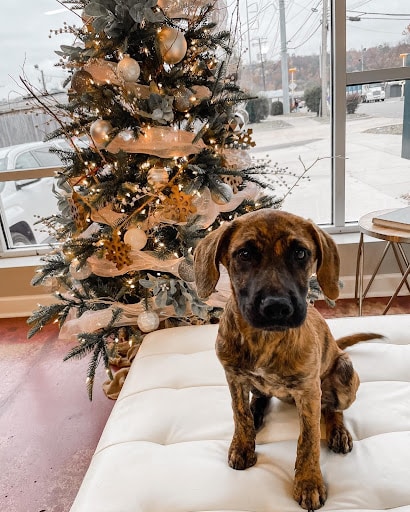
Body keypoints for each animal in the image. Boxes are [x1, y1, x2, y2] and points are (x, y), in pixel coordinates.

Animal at [194, 209, 382, 512]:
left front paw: (308, 482)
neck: (265, 339)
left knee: (333, 409)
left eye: (301, 253)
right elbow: (239, 414)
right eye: (244, 254)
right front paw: (243, 444)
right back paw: (257, 413)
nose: (276, 307)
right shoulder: (233, 377)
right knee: (260, 397)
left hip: (344, 372)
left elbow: (309, 439)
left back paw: (339, 432)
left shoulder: (309, 391)